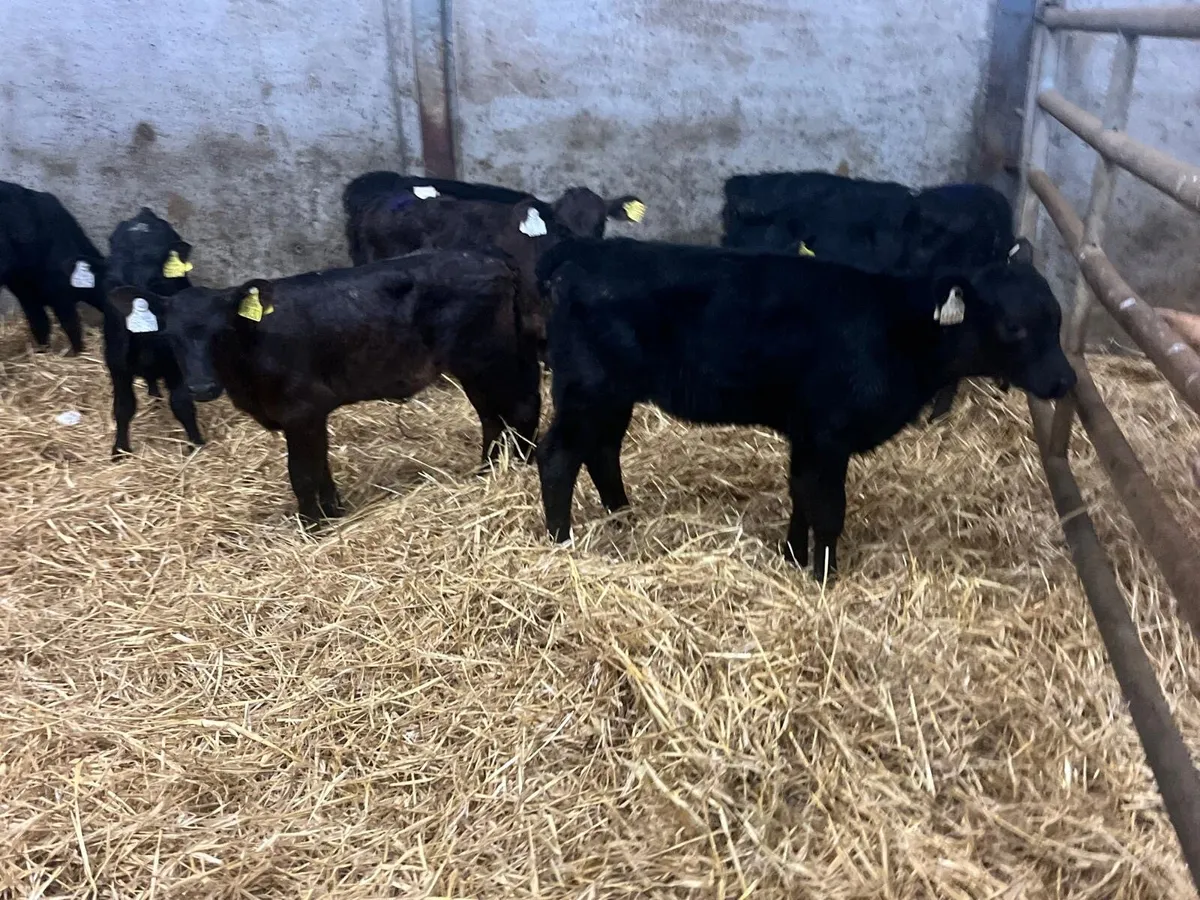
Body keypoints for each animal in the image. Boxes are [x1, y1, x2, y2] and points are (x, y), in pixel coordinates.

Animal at [0, 180, 106, 354]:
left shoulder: (25, 293)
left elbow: (40, 324)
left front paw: (43, 351)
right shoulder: (59, 291)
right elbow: (71, 325)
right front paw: (78, 352)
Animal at [101, 208, 203, 458]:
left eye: (157, 279)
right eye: (111, 280)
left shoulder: (177, 365)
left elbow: (181, 403)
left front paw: (196, 443)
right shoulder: (116, 363)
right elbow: (123, 407)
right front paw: (120, 449)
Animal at [108, 251, 542, 523]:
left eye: (222, 332)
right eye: (171, 337)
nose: (200, 387)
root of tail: (495, 260)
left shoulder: (301, 409)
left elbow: (301, 472)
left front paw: (312, 525)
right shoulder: (312, 414)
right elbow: (320, 465)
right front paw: (333, 510)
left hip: (486, 359)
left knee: (515, 410)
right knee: (495, 416)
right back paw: (488, 470)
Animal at [534, 237, 1074, 581]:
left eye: (1057, 317)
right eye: (1013, 326)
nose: (1066, 381)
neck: (897, 330)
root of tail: (581, 252)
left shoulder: (807, 434)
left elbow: (800, 493)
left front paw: (793, 556)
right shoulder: (828, 433)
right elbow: (828, 507)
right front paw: (823, 577)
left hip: (613, 395)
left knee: (602, 452)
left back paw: (622, 518)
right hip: (588, 389)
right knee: (558, 456)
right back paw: (561, 542)